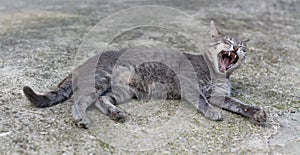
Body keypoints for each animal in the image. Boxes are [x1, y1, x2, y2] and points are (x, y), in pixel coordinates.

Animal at [23, 21, 268, 129]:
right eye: (227, 41)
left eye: (242, 48)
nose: (235, 48)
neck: (217, 74)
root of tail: (84, 62)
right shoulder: (190, 83)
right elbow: (201, 100)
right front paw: (211, 112)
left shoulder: (220, 95)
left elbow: (239, 104)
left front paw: (256, 112)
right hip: (100, 78)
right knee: (79, 100)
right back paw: (81, 118)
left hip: (123, 90)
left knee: (102, 100)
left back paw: (115, 114)